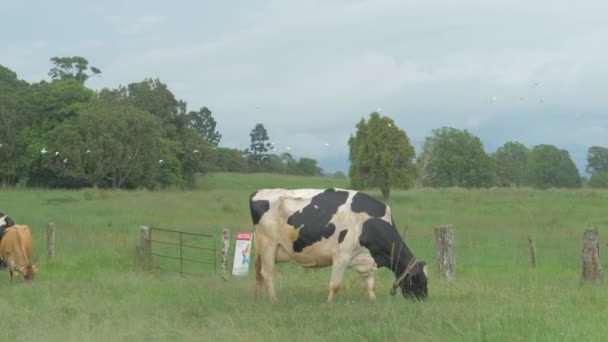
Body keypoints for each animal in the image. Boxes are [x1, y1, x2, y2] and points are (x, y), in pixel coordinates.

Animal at [247, 188, 428, 304]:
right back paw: (274, 301)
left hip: (261, 249)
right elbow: (335, 285)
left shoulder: (363, 259)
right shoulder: (342, 256)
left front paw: (373, 303)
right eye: (420, 279)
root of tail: (258, 192)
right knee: (268, 274)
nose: (424, 301)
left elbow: (370, 285)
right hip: (269, 245)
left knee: (258, 274)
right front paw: (329, 304)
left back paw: (256, 299)